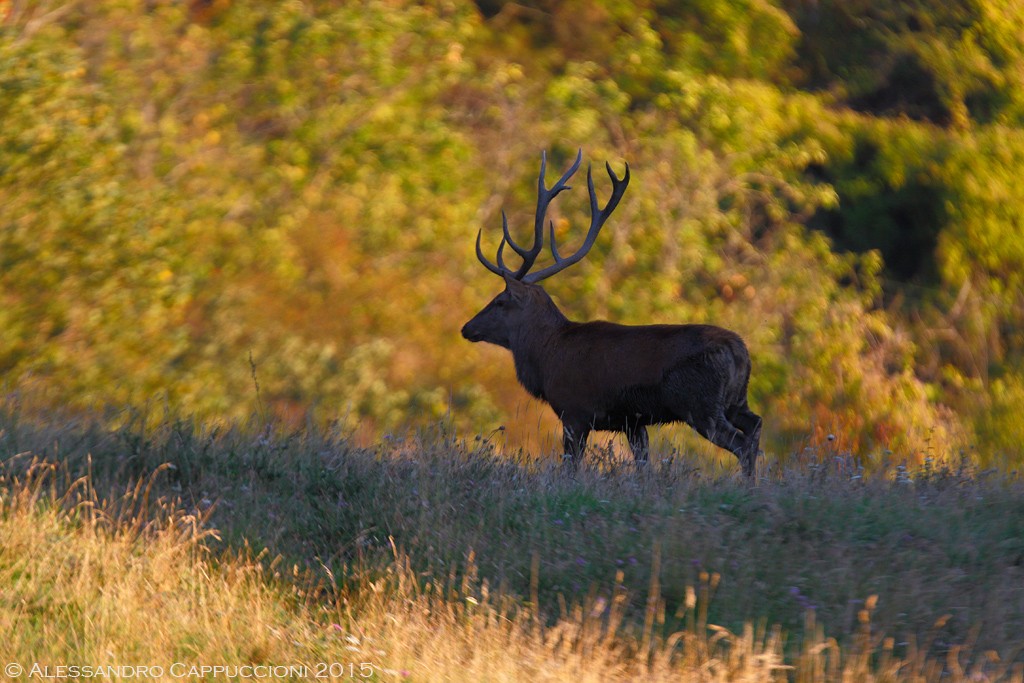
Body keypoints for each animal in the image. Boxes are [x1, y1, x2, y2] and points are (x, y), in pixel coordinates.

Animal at [462, 150, 761, 475]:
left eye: (500, 300)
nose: (466, 328)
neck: (546, 356)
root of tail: (740, 351)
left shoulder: (574, 411)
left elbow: (571, 465)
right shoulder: (633, 421)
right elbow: (642, 463)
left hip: (700, 404)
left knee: (741, 443)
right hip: (736, 401)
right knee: (755, 425)